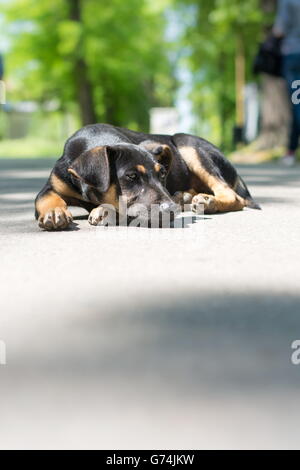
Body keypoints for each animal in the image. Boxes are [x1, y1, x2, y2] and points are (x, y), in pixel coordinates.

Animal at [35, 123, 260, 229]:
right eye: (131, 176)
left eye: (163, 174)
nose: (170, 210)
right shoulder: (52, 186)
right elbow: (45, 198)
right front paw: (54, 213)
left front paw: (104, 211)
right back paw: (185, 197)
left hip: (189, 145)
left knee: (233, 196)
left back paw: (207, 201)